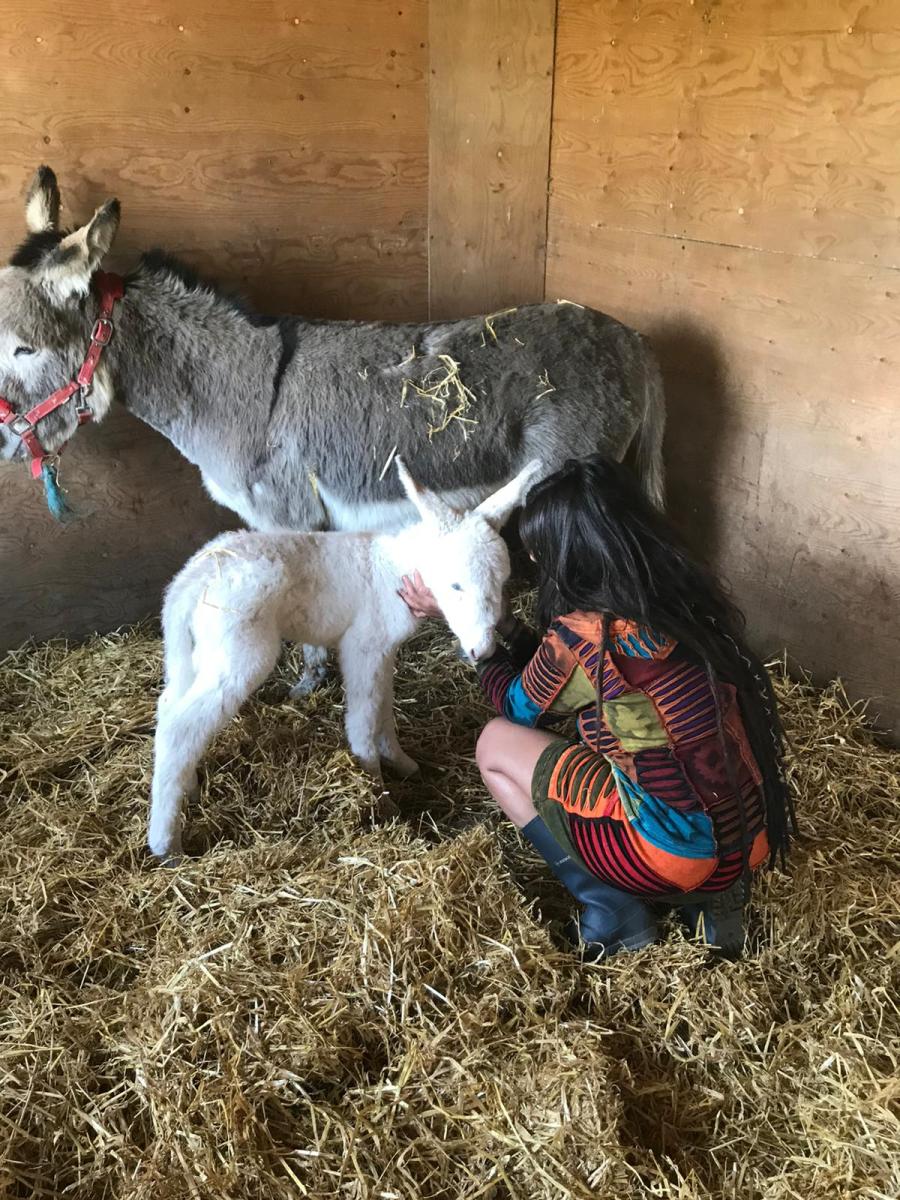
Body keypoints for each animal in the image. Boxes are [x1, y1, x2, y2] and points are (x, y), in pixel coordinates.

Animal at [150, 458, 540, 864]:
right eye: (456, 586)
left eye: (502, 583)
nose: (482, 649)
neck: (391, 571)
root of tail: (191, 580)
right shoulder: (362, 645)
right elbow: (363, 718)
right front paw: (378, 791)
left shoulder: (383, 649)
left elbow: (383, 708)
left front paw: (401, 762)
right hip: (239, 652)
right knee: (180, 727)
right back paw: (167, 845)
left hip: (196, 651)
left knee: (171, 707)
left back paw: (188, 789)